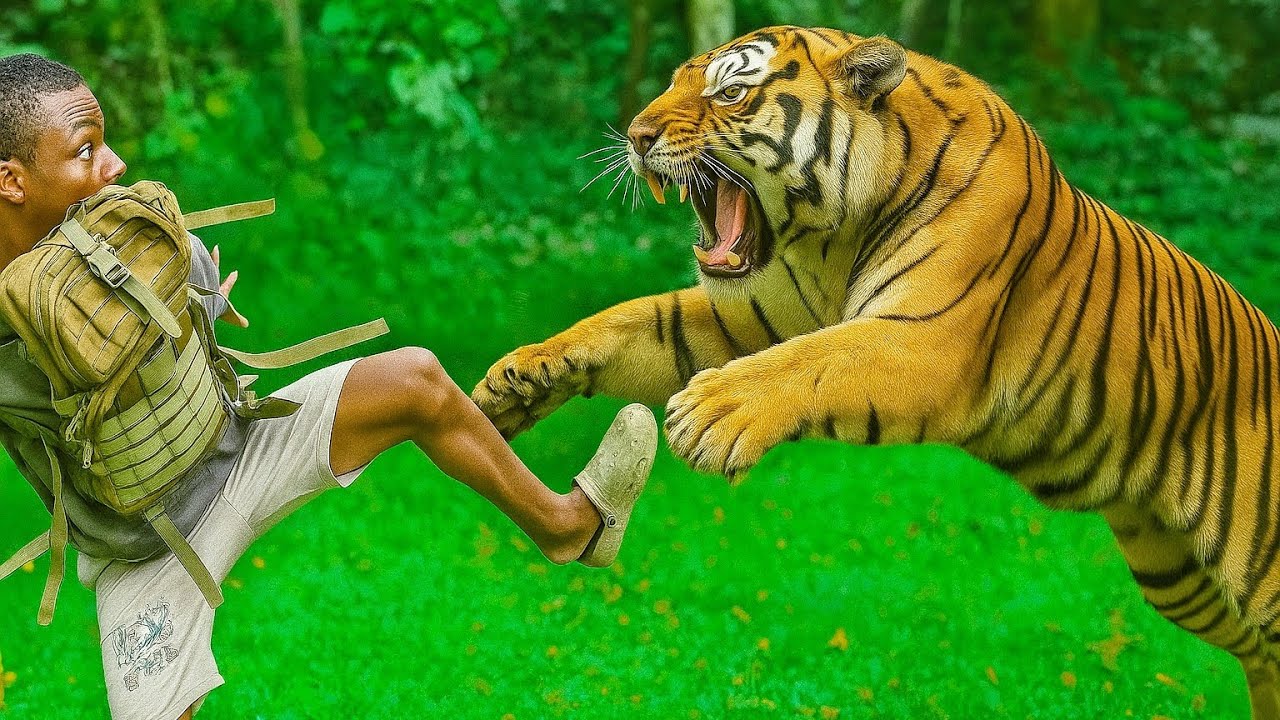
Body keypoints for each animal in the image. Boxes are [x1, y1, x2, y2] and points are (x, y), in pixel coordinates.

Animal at [472, 25, 1280, 716]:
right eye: (675, 82)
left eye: (730, 91)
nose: (636, 136)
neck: (830, 234)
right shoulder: (750, 318)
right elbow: (628, 319)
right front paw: (519, 375)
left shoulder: (925, 341)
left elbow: (816, 361)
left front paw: (711, 413)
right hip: (1176, 574)